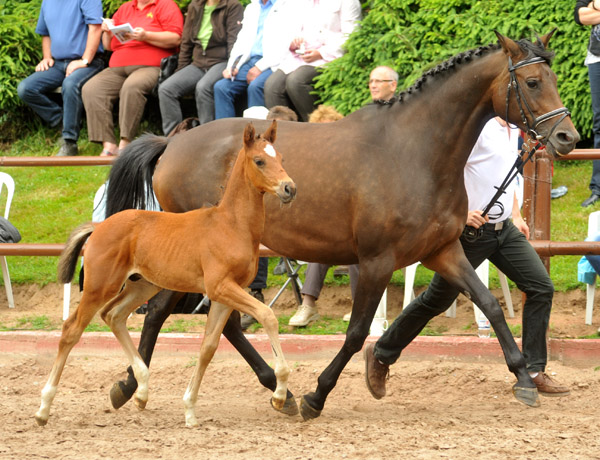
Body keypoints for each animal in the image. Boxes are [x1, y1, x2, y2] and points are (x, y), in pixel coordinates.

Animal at [34, 122, 296, 428]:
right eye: (259, 160)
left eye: (281, 158)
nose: (289, 188)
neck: (231, 225)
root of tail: (98, 227)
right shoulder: (220, 287)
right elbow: (267, 316)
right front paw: (279, 395)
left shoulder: (225, 295)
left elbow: (208, 347)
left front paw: (190, 410)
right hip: (100, 286)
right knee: (71, 330)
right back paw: (43, 408)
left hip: (142, 286)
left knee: (114, 315)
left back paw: (141, 390)